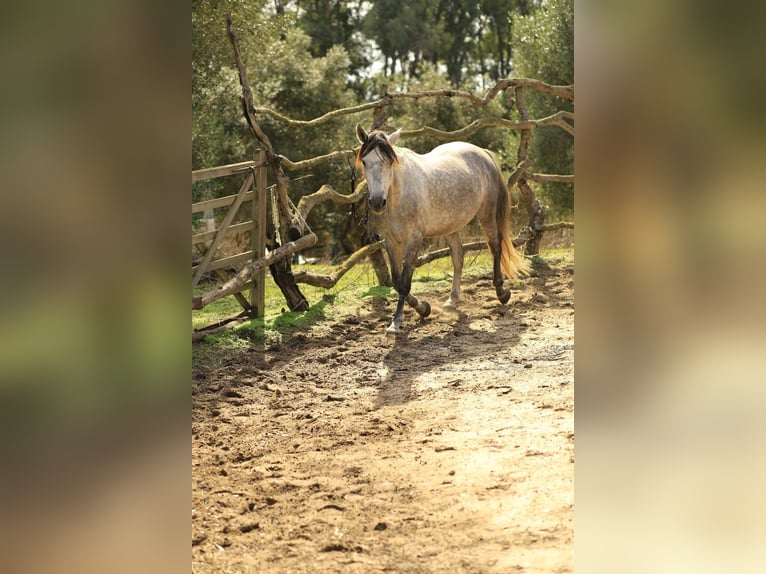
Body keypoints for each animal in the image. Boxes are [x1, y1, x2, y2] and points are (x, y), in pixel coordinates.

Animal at [356, 124, 532, 336]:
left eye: (389, 162)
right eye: (365, 162)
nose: (376, 202)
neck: (398, 196)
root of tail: (483, 153)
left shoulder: (414, 240)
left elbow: (404, 282)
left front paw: (396, 323)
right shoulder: (391, 242)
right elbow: (397, 281)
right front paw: (423, 308)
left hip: (486, 214)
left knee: (495, 246)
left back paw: (502, 292)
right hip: (451, 225)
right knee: (458, 256)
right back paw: (452, 300)